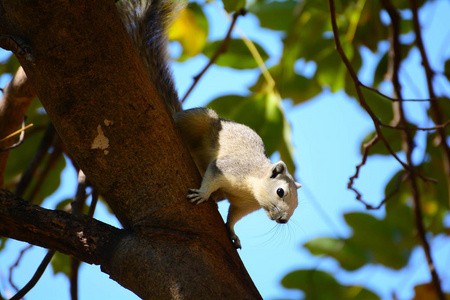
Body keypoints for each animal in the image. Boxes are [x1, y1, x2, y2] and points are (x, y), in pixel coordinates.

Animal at [119, 0, 302, 248]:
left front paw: (233, 233)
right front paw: (203, 194)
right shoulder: (228, 168)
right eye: (281, 192)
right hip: (202, 119)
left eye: (297, 205)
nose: (283, 220)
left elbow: (233, 217)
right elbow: (213, 176)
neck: (252, 187)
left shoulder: (243, 205)